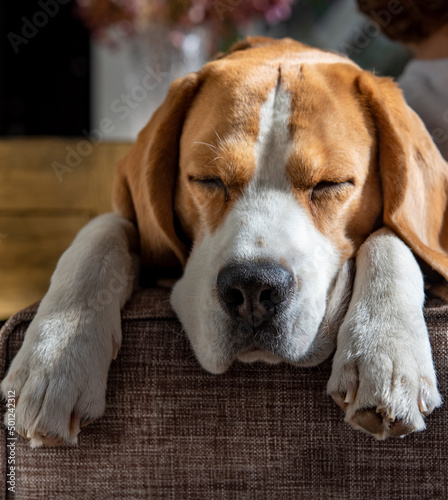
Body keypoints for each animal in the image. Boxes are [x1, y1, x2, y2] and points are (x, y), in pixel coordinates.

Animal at [1, 38, 446, 446]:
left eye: (330, 184)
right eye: (207, 179)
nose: (253, 288)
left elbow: (391, 236)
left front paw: (386, 351)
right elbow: (101, 231)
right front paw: (54, 359)